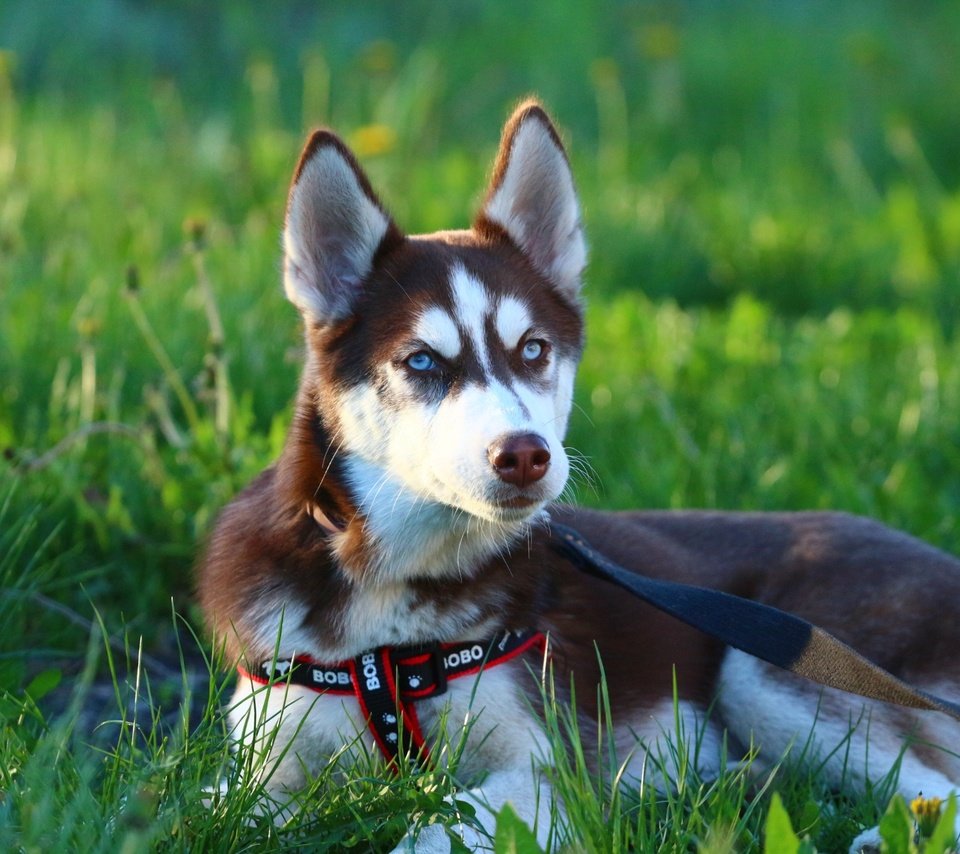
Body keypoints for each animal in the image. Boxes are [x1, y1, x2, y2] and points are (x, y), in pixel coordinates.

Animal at [197, 98, 960, 848]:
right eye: (421, 361)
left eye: (533, 349)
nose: (524, 454)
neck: (392, 619)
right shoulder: (264, 763)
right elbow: (217, 812)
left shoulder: (544, 777)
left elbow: (433, 829)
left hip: (769, 660)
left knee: (934, 780)